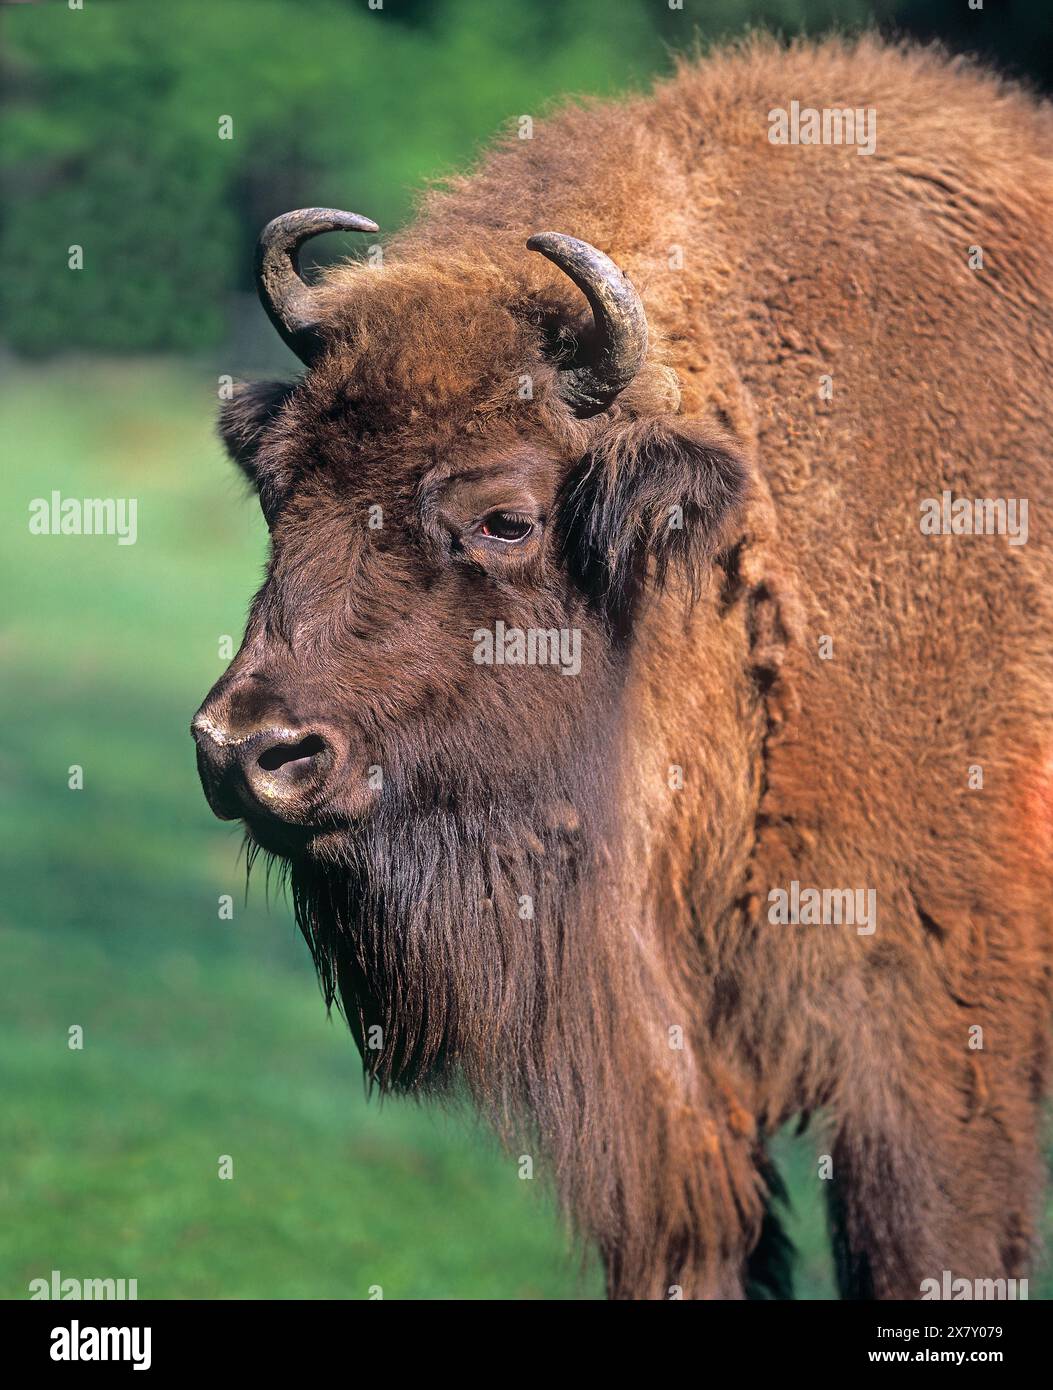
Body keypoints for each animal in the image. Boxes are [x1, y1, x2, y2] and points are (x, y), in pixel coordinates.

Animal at [191, 38, 1053, 1295]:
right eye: (278, 486)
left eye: (505, 517)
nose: (247, 751)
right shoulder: (676, 1076)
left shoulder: (931, 1032)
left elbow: (928, 1238)